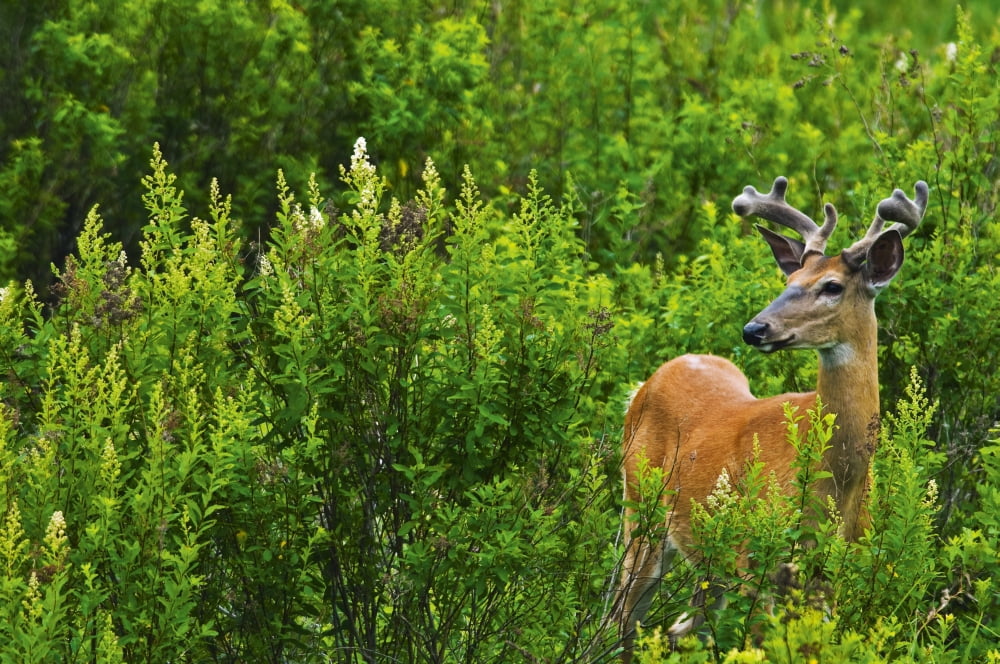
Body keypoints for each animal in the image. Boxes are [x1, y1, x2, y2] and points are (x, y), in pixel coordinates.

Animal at [613, 176, 928, 661]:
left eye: (832, 286)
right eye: (790, 278)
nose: (754, 329)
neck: (835, 482)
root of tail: (644, 385)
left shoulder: (830, 574)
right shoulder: (756, 560)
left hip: (708, 561)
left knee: (680, 627)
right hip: (639, 511)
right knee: (622, 617)